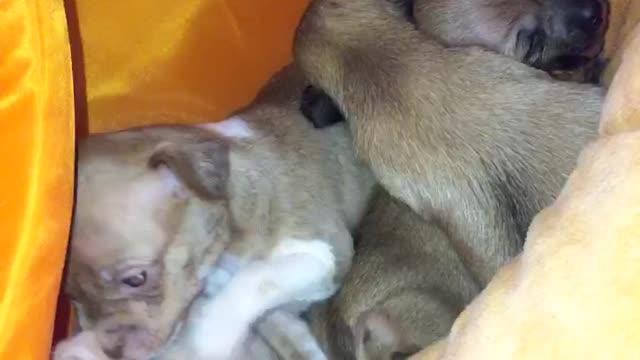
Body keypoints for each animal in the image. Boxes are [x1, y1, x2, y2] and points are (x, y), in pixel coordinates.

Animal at [56, 63, 376, 358]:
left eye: (136, 279)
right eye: (71, 296)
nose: (113, 353)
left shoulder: (326, 252)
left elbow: (254, 280)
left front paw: (210, 336)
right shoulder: (275, 313)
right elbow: (290, 333)